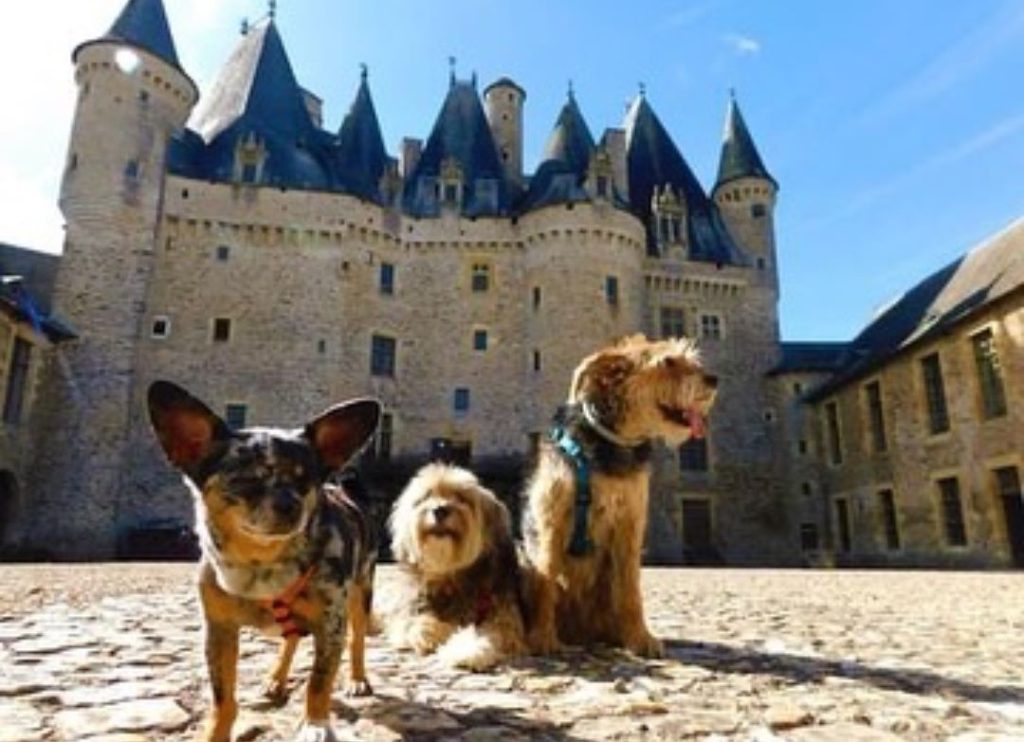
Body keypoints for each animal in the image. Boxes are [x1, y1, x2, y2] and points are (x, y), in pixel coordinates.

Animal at [145, 382, 380, 740]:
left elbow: (318, 684)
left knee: (356, 641)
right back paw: (276, 678)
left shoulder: (331, 628)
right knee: (291, 639)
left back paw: (356, 679)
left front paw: (315, 725)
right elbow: (223, 697)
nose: (291, 504)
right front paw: (216, 732)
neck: (261, 565)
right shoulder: (220, 632)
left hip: (360, 595)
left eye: (305, 481)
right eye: (246, 480)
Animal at [524, 333, 716, 655]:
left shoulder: (630, 524)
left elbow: (630, 590)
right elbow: (547, 578)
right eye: (667, 361)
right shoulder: (552, 519)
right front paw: (542, 636)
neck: (613, 441)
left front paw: (641, 638)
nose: (714, 379)